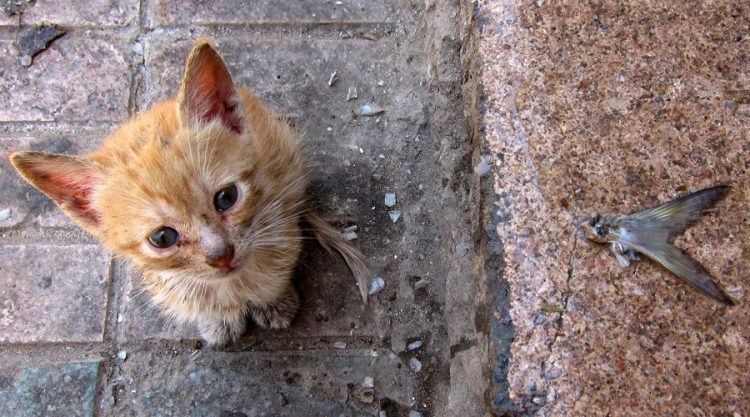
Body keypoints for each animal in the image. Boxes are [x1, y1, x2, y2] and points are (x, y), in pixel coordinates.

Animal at [5, 39, 370, 344]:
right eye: (163, 237)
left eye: (226, 198)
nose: (221, 255)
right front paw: (219, 318)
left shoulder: (279, 219)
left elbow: (276, 266)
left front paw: (273, 301)